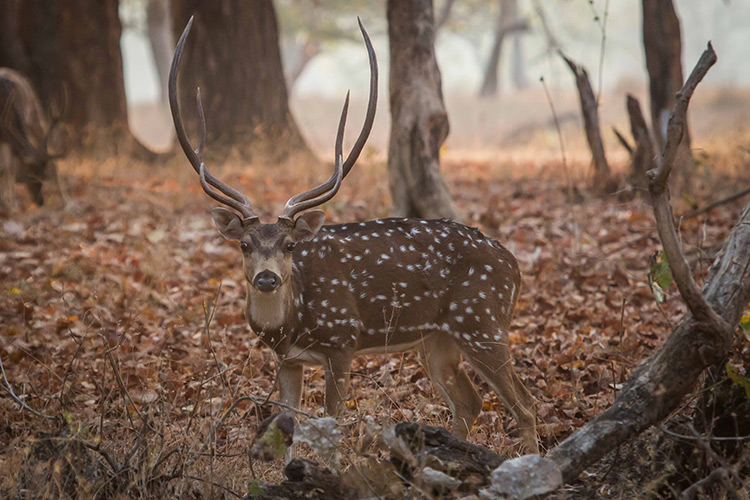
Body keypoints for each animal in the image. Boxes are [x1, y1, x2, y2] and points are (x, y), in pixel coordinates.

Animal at [0, 68, 66, 209]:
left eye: (42, 174)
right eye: (29, 175)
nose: (40, 201)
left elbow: (8, 167)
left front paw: (11, 205)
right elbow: (8, 167)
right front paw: (10, 204)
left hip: (35, 115)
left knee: (52, 160)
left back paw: (67, 202)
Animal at [169, 17, 538, 455]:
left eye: (290, 245)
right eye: (244, 245)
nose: (267, 278)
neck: (292, 322)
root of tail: (514, 267)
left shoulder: (342, 341)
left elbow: (332, 423)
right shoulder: (286, 359)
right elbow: (285, 422)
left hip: (483, 322)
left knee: (525, 404)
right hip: (437, 340)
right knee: (470, 403)